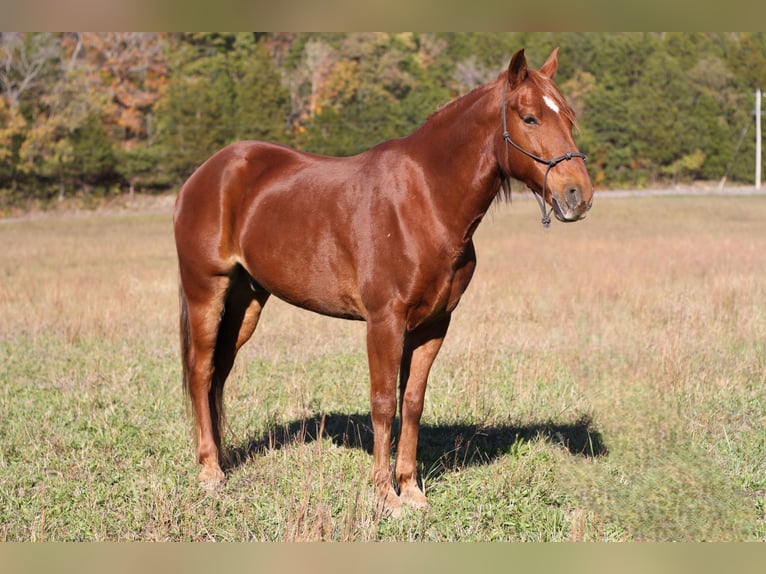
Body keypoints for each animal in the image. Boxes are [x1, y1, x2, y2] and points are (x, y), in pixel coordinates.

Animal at [173, 47, 593, 516]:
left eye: (569, 118)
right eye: (530, 117)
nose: (578, 196)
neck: (425, 201)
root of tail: (204, 174)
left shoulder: (434, 325)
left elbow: (411, 403)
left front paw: (411, 489)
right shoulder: (384, 322)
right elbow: (382, 403)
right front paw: (384, 494)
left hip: (245, 303)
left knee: (219, 373)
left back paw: (221, 458)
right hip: (206, 291)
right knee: (200, 370)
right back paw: (210, 472)